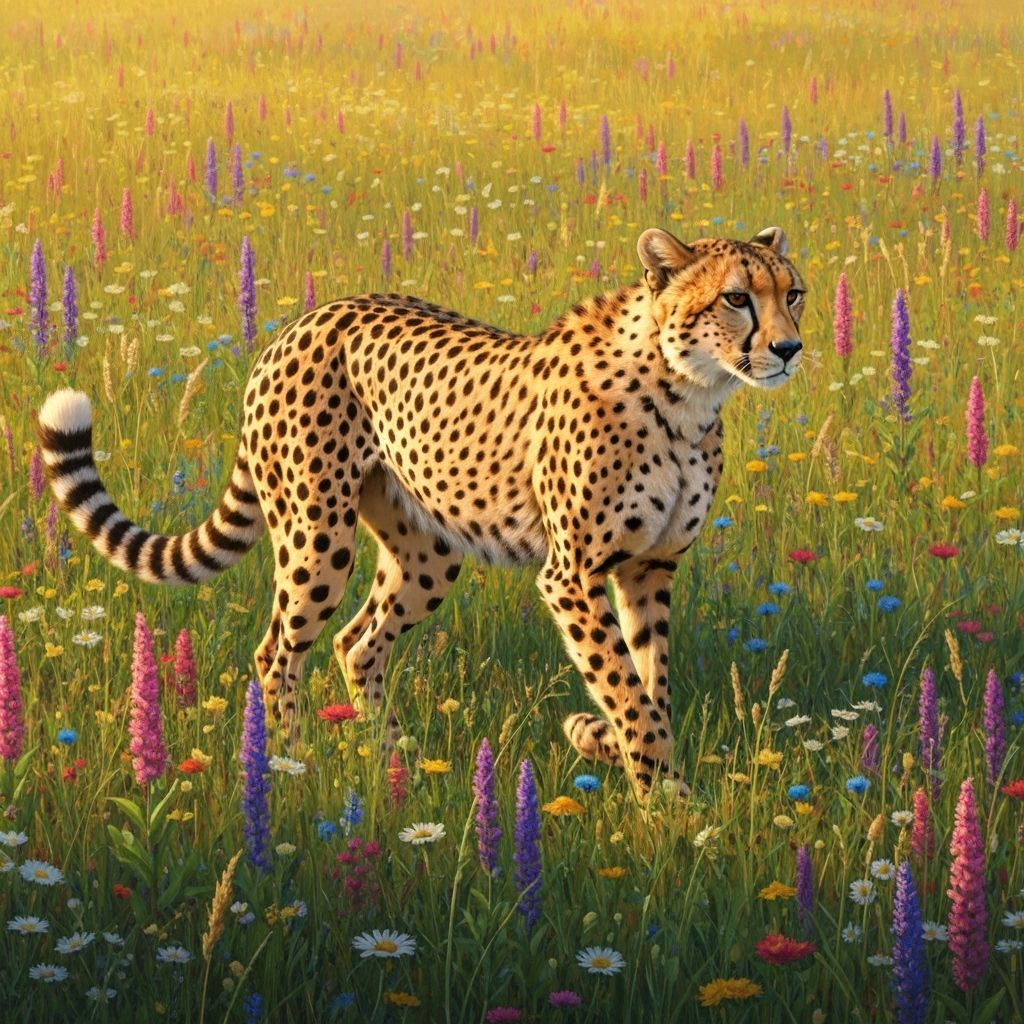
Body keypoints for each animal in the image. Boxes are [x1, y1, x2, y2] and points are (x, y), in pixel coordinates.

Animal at [38, 225, 805, 798]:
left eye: (793, 293)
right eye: (737, 298)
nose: (791, 347)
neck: (688, 392)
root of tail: (301, 320)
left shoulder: (648, 569)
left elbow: (650, 684)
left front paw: (618, 754)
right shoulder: (573, 575)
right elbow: (626, 691)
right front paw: (665, 802)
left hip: (428, 552)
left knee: (358, 642)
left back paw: (396, 764)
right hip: (316, 535)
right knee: (276, 651)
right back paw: (288, 765)